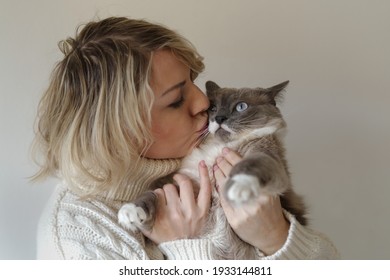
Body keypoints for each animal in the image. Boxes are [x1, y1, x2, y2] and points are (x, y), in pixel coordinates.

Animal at [117, 80, 306, 260]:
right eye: (213, 108)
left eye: (241, 107)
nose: (219, 118)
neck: (219, 147)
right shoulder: (186, 183)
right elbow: (151, 195)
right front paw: (130, 213)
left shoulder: (266, 156)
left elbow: (248, 167)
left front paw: (237, 188)